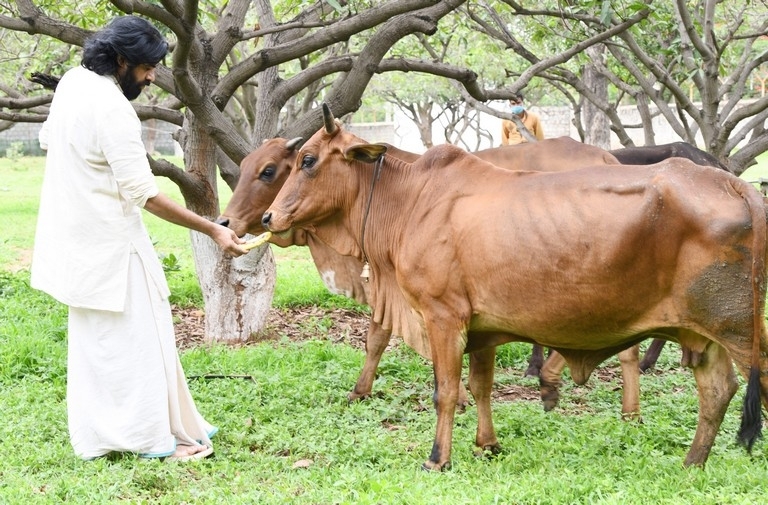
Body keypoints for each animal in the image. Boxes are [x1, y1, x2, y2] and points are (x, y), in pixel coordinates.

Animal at [260, 104, 764, 470]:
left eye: (308, 160)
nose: (268, 217)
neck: (410, 200)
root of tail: (736, 184)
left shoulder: (444, 317)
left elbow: (446, 391)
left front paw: (438, 459)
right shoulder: (482, 328)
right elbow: (481, 387)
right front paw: (488, 445)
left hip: (739, 331)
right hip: (704, 333)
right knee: (716, 392)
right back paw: (692, 463)